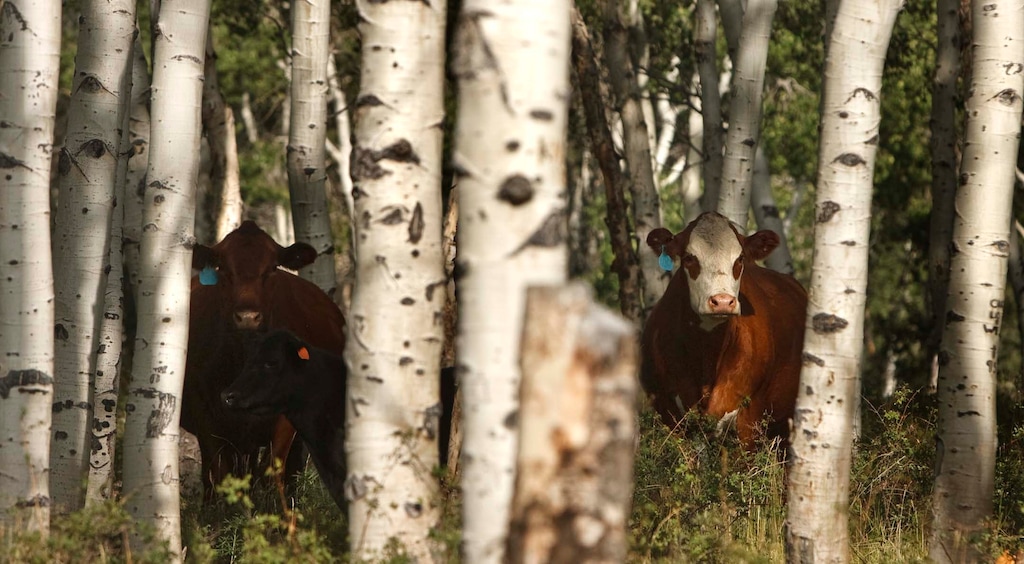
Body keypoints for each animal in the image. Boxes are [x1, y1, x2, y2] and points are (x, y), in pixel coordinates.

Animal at [181, 221, 346, 500]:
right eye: (223, 269)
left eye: (271, 268)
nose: (248, 317)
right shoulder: (203, 411)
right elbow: (217, 472)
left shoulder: (284, 420)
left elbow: (272, 471)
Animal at [641, 212, 806, 448]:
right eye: (689, 258)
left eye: (740, 259)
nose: (722, 301)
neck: (706, 353)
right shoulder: (668, 412)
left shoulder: (747, 420)